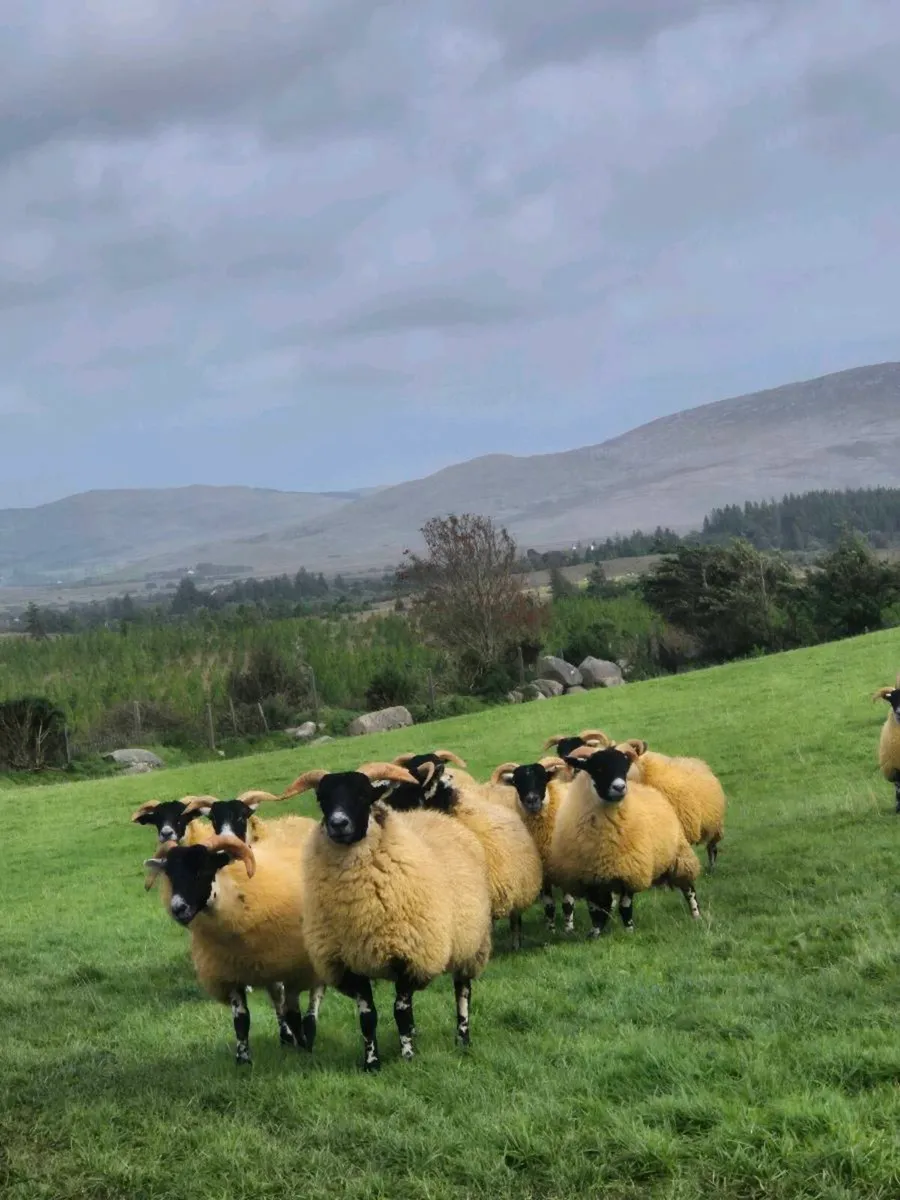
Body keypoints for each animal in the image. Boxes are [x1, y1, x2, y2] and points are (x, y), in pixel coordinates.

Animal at [143, 825, 324, 1066]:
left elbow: (294, 1009)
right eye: (170, 875)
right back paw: (287, 1037)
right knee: (279, 998)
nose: (178, 909)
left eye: (202, 870)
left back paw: (308, 1033)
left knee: (313, 995)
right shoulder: (229, 973)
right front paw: (243, 1059)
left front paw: (304, 1045)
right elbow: (242, 1020)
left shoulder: (291, 965)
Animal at [281, 761, 493, 1072]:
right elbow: (368, 1018)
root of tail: (436, 815)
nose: (338, 824)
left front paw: (407, 1057)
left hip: (471, 944)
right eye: (322, 799)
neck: (357, 907)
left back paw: (462, 1039)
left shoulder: (410, 955)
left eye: (363, 795)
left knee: (462, 992)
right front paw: (372, 1063)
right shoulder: (349, 965)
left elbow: (400, 1010)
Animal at [490, 756, 579, 933]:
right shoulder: (543, 873)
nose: (531, 800)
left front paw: (568, 930)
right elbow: (549, 905)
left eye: (543, 778)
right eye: (517, 782)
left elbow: (567, 903)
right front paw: (551, 930)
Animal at [550, 745, 702, 936]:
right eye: (598, 768)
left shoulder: (631, 873)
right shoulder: (588, 878)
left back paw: (696, 915)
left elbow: (625, 906)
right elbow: (596, 909)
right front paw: (595, 933)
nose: (620, 787)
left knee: (689, 888)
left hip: (678, 857)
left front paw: (629, 930)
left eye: (624, 769)